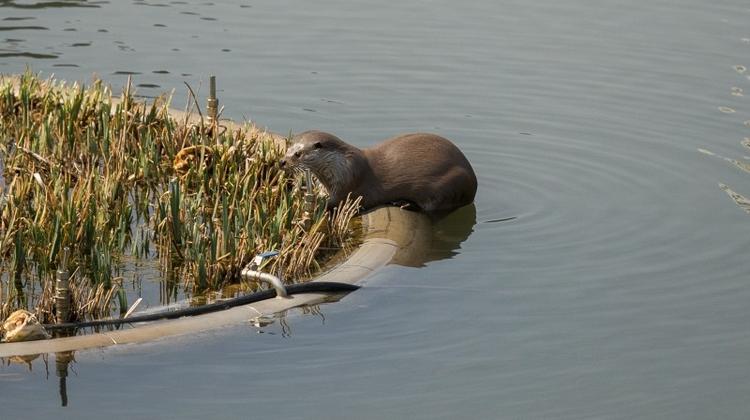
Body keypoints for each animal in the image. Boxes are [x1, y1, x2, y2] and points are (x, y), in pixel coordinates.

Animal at [280, 130, 477, 213]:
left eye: (298, 154)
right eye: (288, 148)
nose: (282, 161)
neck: (342, 165)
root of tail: (474, 186)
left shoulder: (348, 185)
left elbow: (335, 202)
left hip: (448, 185)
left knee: (432, 209)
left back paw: (404, 204)